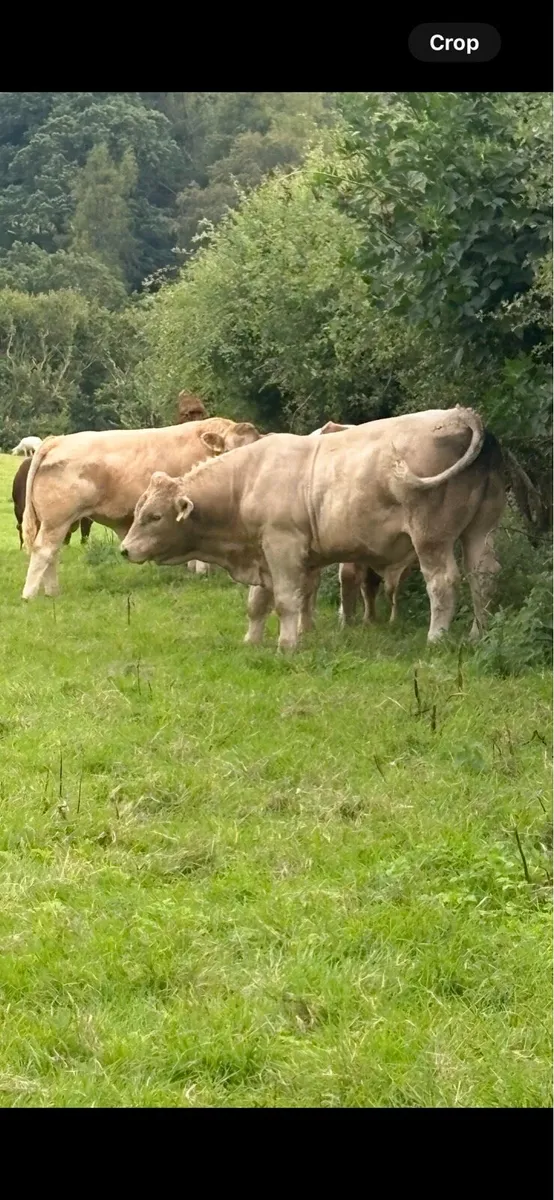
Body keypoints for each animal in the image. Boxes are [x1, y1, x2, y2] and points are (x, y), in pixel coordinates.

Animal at [21, 417, 261, 600]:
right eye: (228, 450)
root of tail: (57, 440)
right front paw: (202, 573)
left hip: (56, 522)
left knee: (52, 553)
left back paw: (52, 592)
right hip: (57, 520)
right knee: (44, 550)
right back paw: (30, 595)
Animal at [120, 406, 505, 652]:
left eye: (154, 516)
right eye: (139, 510)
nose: (124, 549)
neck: (245, 481)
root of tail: (459, 415)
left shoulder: (283, 547)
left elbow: (287, 601)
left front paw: (287, 645)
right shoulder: (262, 551)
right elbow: (257, 603)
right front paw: (252, 641)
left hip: (430, 537)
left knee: (442, 583)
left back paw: (436, 639)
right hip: (480, 529)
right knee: (482, 576)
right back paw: (478, 635)